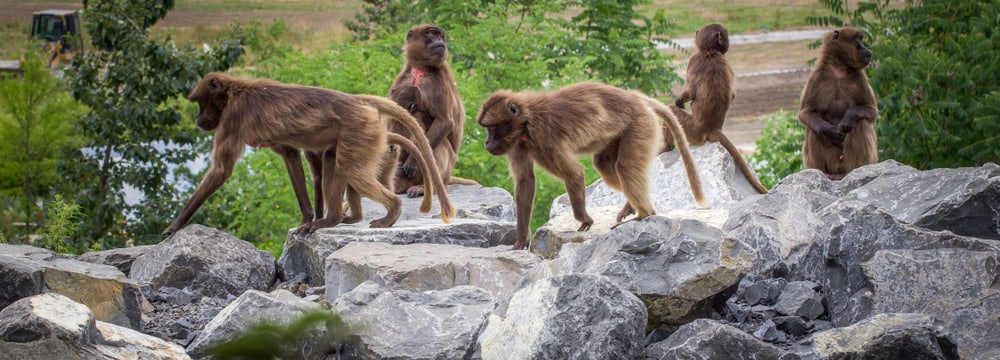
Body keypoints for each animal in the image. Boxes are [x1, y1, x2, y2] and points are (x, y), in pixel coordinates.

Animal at [165, 73, 458, 235]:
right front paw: (306, 218)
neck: (236, 91)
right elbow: (292, 158)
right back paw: (336, 219)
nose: (198, 119)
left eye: (199, 103)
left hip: (359, 129)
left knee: (347, 168)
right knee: (334, 164)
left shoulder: (232, 120)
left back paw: (381, 212)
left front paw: (174, 225)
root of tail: (356, 100)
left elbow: (220, 171)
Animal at [386, 23, 476, 198]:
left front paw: (412, 161)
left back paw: (426, 187)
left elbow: (444, 121)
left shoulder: (437, 81)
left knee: (439, 143)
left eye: (440, 36)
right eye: (432, 34)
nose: (440, 41)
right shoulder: (403, 79)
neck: (420, 69)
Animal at [474, 82, 704, 250]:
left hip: (640, 124)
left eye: (492, 127)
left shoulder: (543, 140)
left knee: (625, 167)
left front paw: (583, 218)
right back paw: (631, 207)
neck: (526, 120)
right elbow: (525, 182)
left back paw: (644, 214)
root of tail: (635, 97)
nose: (486, 142)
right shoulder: (518, 145)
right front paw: (520, 242)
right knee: (604, 164)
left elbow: (574, 173)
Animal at [668, 23, 768, 194]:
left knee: (669, 113)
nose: (728, 43)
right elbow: (732, 95)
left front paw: (679, 102)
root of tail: (712, 128)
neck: (711, 52)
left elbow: (690, 92)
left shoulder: (693, 60)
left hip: (692, 130)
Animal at [796, 27, 876, 179]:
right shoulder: (816, 77)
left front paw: (849, 117)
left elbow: (871, 111)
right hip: (832, 160)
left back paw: (855, 170)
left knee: (860, 123)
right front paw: (830, 130)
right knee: (813, 130)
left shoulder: (860, 78)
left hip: (847, 160)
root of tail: (839, 170)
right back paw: (825, 173)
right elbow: (805, 113)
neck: (839, 69)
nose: (867, 50)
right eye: (857, 39)